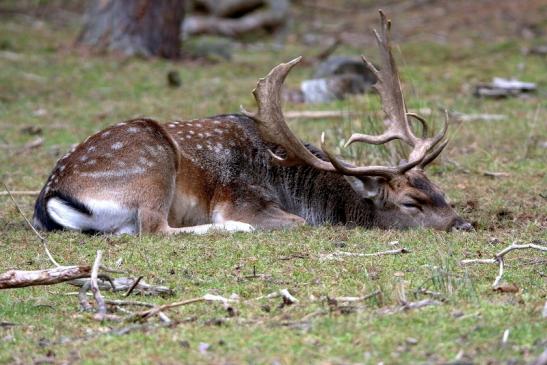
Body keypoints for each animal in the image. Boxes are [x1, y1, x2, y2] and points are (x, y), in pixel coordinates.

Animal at [32, 11, 474, 235]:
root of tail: (50, 196)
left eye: (439, 191)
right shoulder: (242, 198)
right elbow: (295, 222)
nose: (462, 224)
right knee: (154, 228)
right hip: (151, 166)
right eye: (410, 203)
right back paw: (234, 231)